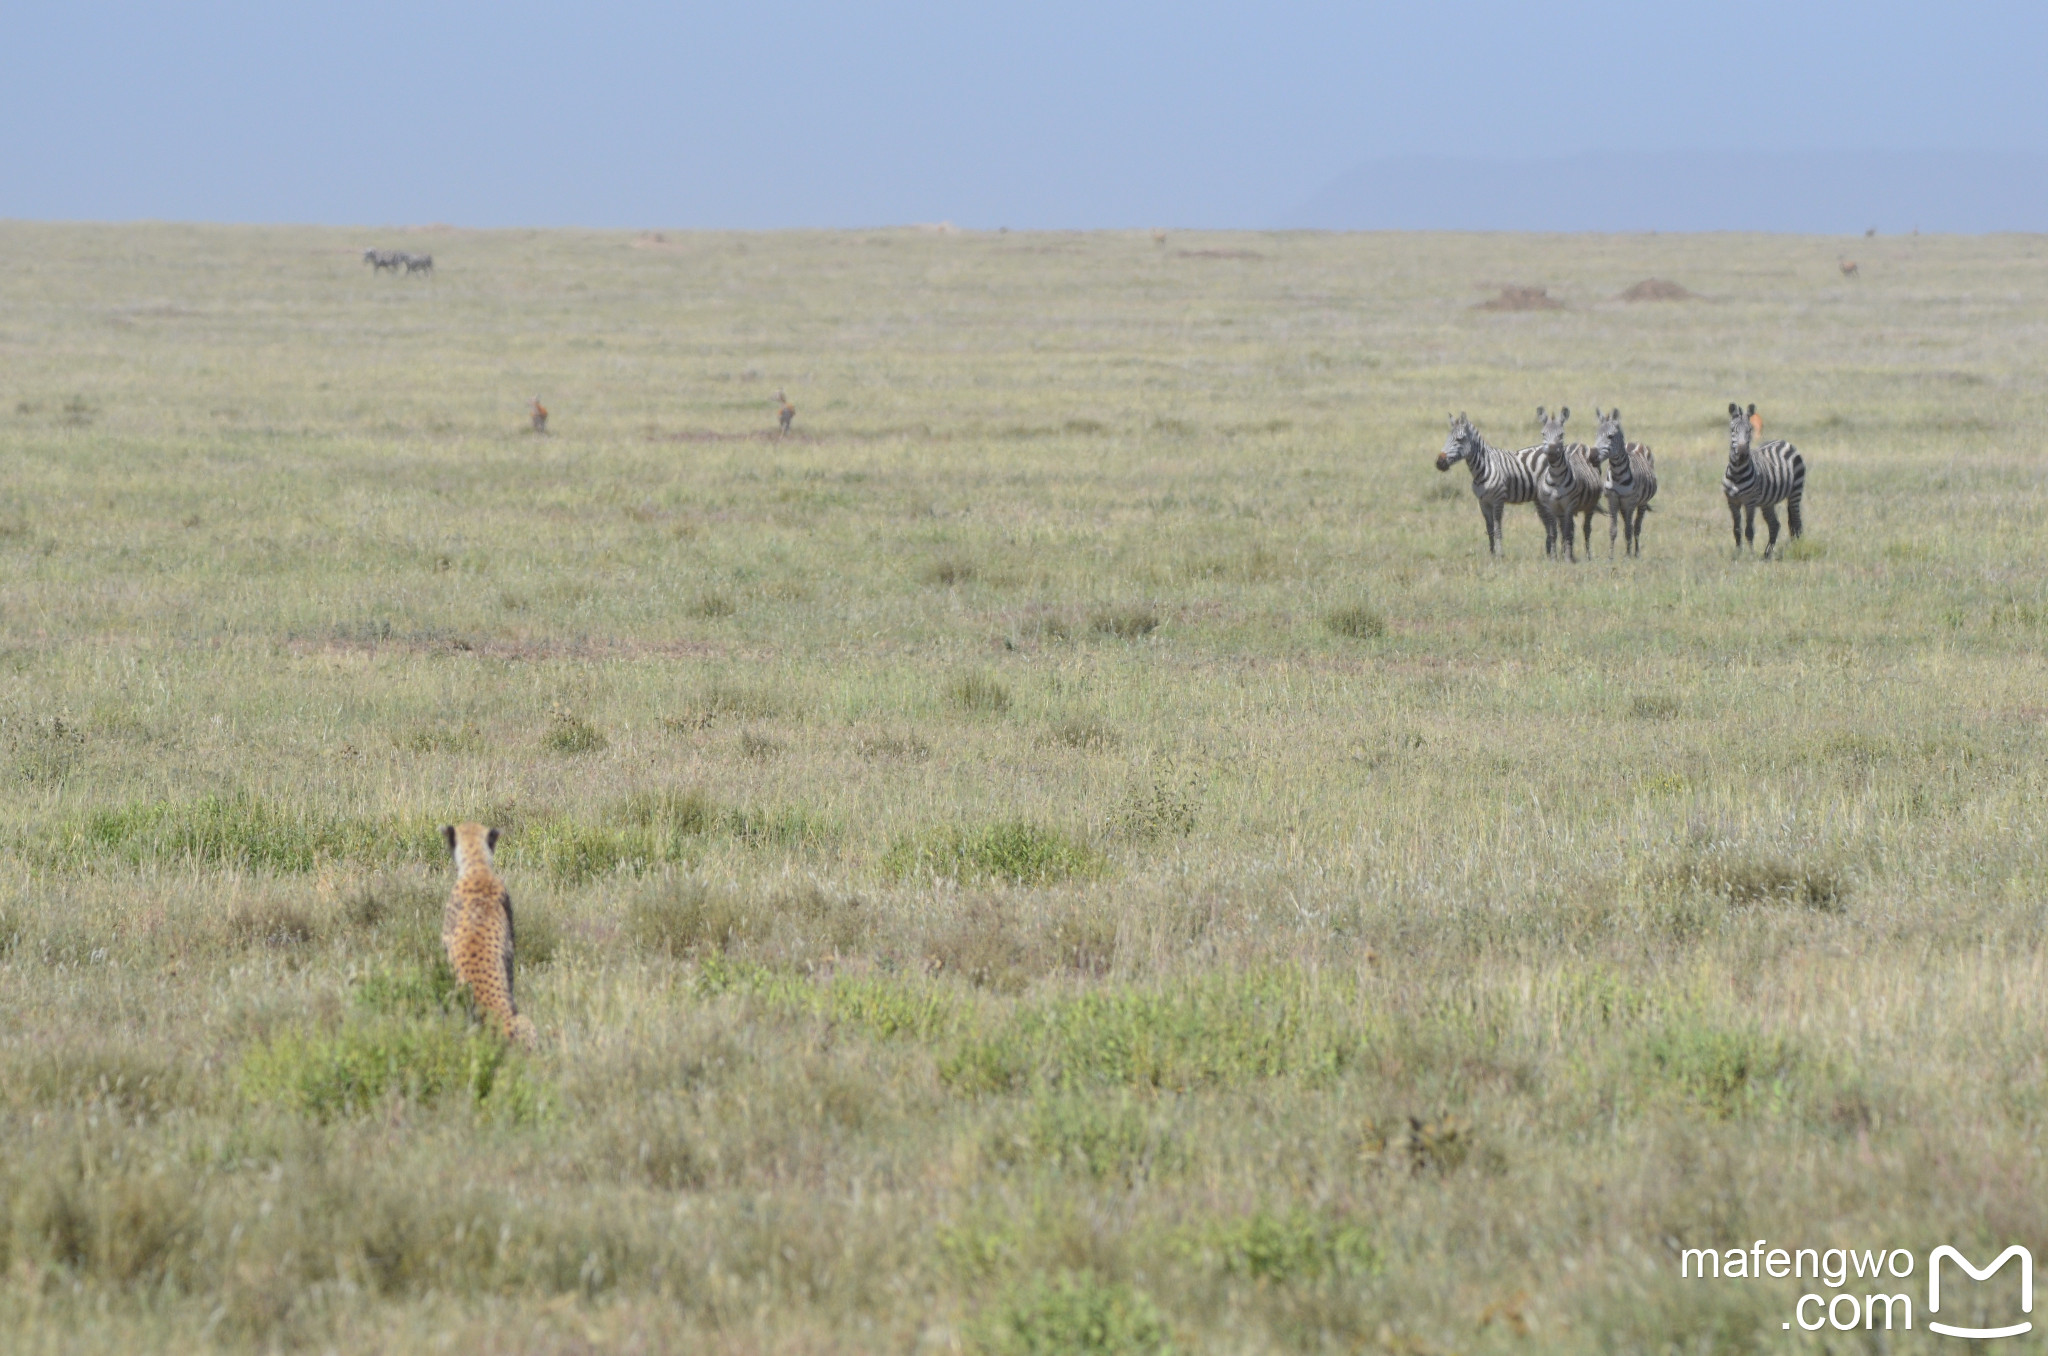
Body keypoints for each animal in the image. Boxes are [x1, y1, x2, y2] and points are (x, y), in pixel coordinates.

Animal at [1441, 417, 1548, 561]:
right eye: (1447, 438)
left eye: (1459, 439)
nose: (1439, 462)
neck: (1483, 468)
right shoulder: (1483, 502)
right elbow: (1489, 529)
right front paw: (1491, 553)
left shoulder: (1498, 500)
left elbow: (1497, 529)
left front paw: (1500, 555)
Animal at [1540, 409, 1613, 569]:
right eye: (1543, 434)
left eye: (1561, 434)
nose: (1552, 452)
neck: (1556, 478)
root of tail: (1579, 444)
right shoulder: (1550, 507)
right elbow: (1554, 533)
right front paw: (1555, 558)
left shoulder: (1569, 505)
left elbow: (1568, 532)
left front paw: (1567, 559)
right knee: (1566, 529)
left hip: (1589, 506)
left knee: (1586, 529)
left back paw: (1587, 556)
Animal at [1589, 403, 1654, 557]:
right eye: (1596, 435)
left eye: (1610, 436)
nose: (1592, 457)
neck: (1617, 474)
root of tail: (1635, 443)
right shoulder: (1612, 499)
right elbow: (1613, 530)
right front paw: (1611, 556)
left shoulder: (1630, 502)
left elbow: (1629, 530)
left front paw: (1628, 556)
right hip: (1623, 505)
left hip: (1641, 503)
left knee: (1636, 527)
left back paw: (1636, 553)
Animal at [1728, 403, 1810, 557]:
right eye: (1732, 430)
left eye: (1750, 430)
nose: (1742, 452)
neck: (1737, 473)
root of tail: (1784, 441)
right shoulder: (1732, 502)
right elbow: (1736, 529)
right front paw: (1737, 554)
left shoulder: (1750, 502)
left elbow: (1749, 530)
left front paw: (1751, 555)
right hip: (1768, 501)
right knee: (1775, 525)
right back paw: (1767, 554)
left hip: (1795, 492)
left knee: (1796, 523)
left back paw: (1797, 548)